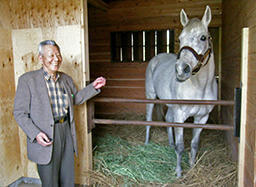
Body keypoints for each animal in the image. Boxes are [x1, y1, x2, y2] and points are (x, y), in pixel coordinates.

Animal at [145, 5, 217, 178]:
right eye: (180, 38)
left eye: (203, 37)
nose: (180, 70)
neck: (200, 87)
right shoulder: (180, 116)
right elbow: (181, 146)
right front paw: (178, 172)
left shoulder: (202, 118)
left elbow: (194, 144)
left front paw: (191, 166)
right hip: (150, 97)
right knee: (149, 119)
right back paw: (146, 143)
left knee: (167, 119)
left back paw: (170, 144)